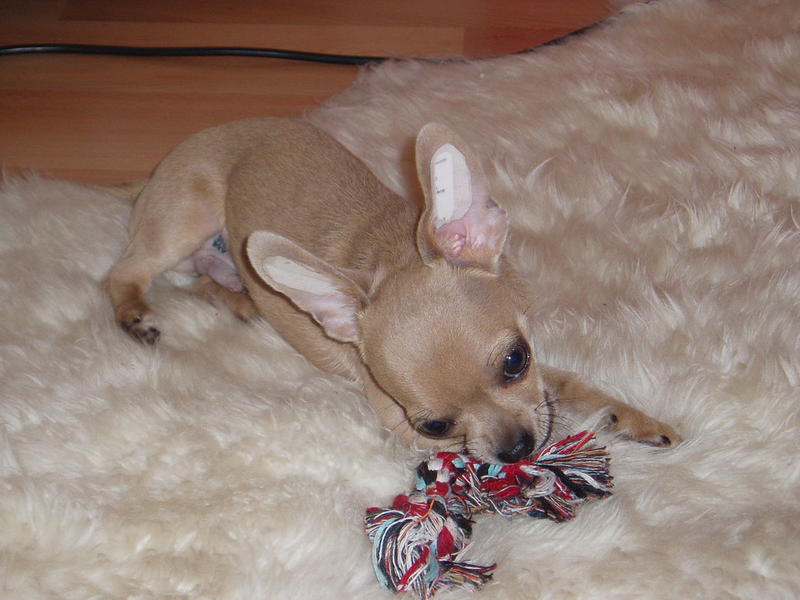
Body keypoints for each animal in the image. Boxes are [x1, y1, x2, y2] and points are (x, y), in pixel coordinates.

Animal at [107, 118, 680, 462]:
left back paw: (242, 301)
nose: (516, 451)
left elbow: (571, 385)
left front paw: (629, 417)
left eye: (516, 361)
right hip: (184, 223)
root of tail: (160, 168)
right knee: (125, 272)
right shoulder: (400, 428)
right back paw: (134, 313)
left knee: (202, 280)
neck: (392, 254)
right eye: (434, 427)